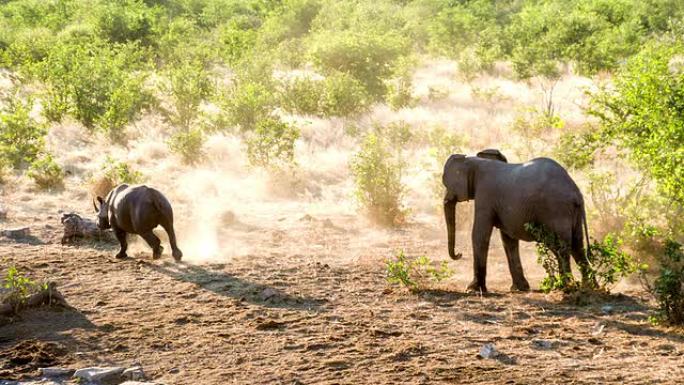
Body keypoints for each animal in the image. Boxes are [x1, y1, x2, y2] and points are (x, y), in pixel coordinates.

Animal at [444, 148, 592, 292]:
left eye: (446, 185)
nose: (459, 254)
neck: (474, 161)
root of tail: (576, 194)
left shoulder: (485, 195)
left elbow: (480, 235)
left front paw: (472, 289)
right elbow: (509, 240)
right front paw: (520, 288)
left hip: (557, 210)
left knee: (561, 248)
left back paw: (566, 287)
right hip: (572, 214)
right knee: (577, 246)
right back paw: (588, 287)